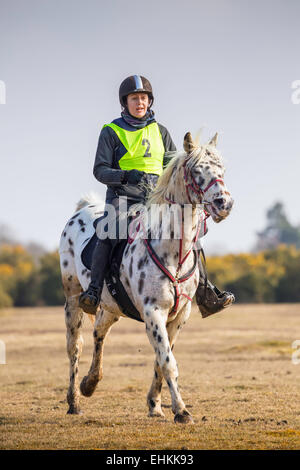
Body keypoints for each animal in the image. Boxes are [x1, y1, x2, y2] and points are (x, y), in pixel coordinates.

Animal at [58, 131, 232, 422]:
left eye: (222, 169)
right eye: (197, 171)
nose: (224, 204)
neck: (172, 251)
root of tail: (83, 209)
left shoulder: (179, 315)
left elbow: (161, 360)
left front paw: (155, 404)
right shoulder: (153, 312)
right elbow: (167, 361)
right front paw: (181, 411)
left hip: (111, 307)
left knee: (99, 332)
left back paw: (90, 383)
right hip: (72, 299)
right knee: (75, 347)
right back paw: (74, 401)